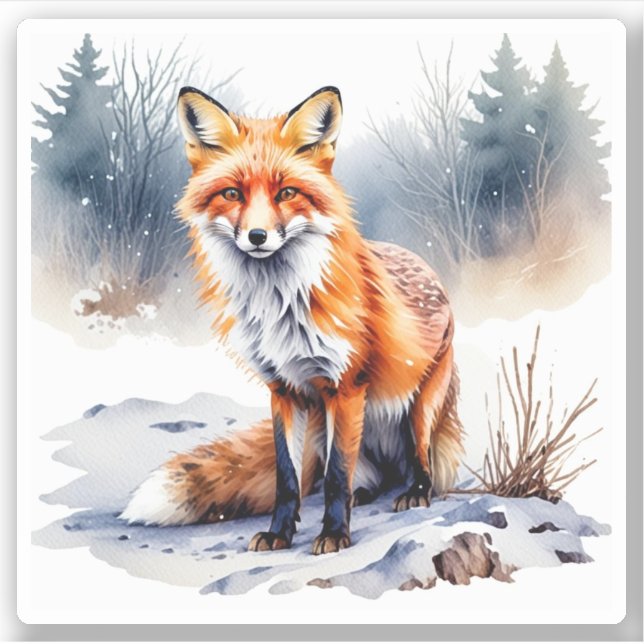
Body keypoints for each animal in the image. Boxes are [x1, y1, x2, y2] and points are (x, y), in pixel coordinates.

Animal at [121, 85, 464, 555]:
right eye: (232, 194)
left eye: (286, 193)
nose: (257, 237)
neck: (278, 309)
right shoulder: (282, 389)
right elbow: (288, 478)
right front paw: (280, 533)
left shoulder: (346, 387)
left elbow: (337, 475)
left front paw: (334, 533)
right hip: (323, 426)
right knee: (352, 475)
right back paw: (365, 491)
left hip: (420, 407)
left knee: (418, 459)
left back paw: (415, 490)